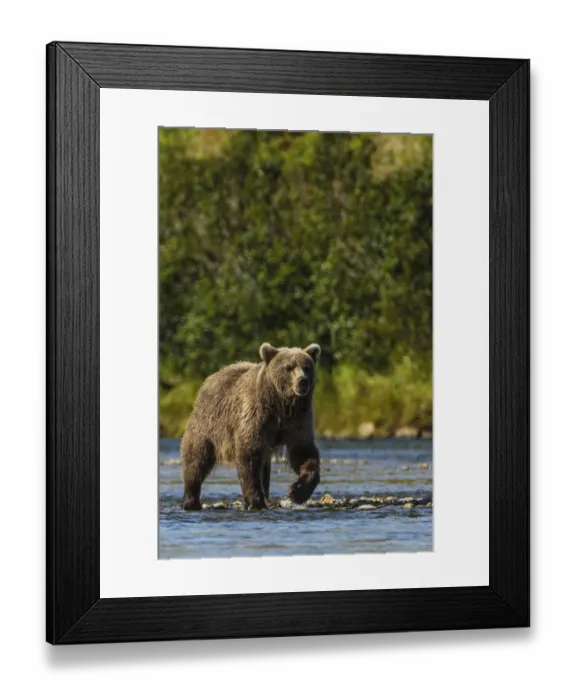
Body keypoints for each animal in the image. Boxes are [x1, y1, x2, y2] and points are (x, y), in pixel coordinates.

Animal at [180, 343, 322, 511]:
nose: (302, 381)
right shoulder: (257, 415)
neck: (281, 404)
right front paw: (255, 501)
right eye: (288, 367)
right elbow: (249, 453)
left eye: (307, 367)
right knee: (196, 458)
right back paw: (191, 501)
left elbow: (303, 452)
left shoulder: (298, 420)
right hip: (208, 424)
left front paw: (296, 492)